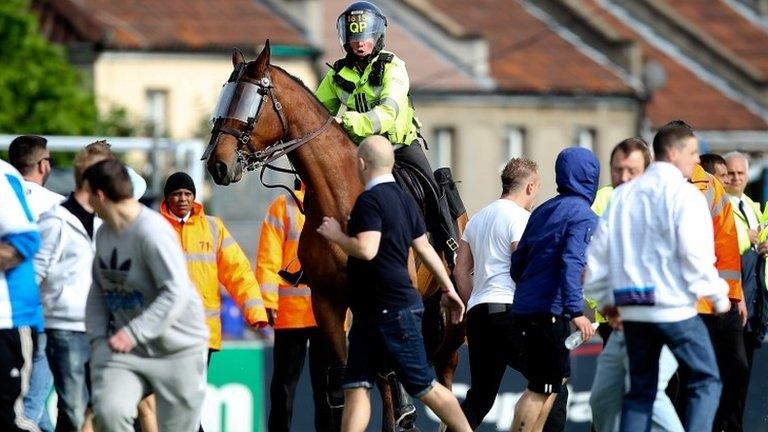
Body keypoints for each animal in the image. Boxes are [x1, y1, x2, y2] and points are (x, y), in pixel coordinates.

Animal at [206, 41, 468, 432]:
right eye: (226, 97)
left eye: (253, 101)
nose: (217, 165)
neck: (343, 194)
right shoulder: (328, 302)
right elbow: (344, 376)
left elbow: (389, 369)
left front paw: (405, 414)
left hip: (452, 320)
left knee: (442, 374)